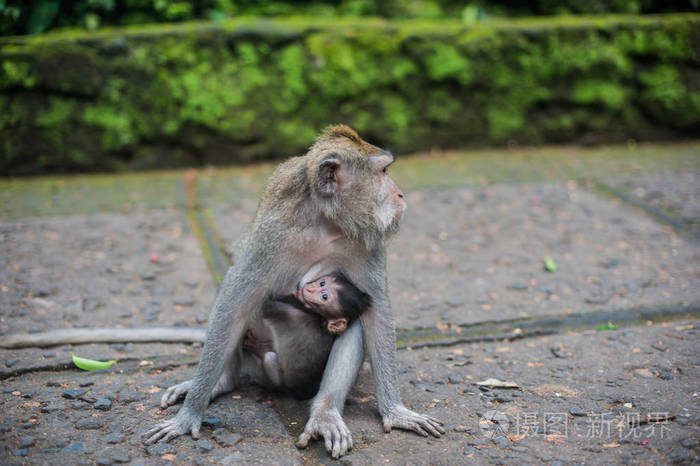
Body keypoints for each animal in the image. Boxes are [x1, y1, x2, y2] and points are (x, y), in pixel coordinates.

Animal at [242, 272, 370, 398]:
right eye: (322, 283)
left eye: (324, 297)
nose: (310, 289)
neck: (318, 317)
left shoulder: (288, 310)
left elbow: (265, 305)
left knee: (269, 358)